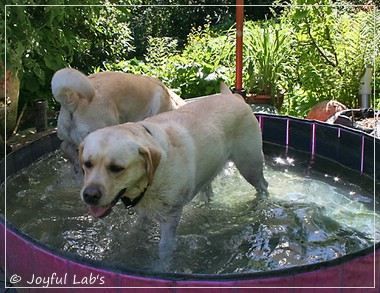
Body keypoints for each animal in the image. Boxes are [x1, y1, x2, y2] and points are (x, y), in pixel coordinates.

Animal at [78, 83, 268, 268]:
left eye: (117, 168)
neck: (152, 175)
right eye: (87, 164)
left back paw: (261, 205)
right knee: (208, 192)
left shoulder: (171, 217)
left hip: (250, 166)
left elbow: (164, 249)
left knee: (263, 186)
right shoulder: (144, 211)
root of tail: (235, 97)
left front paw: (161, 268)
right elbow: (136, 229)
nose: (90, 195)